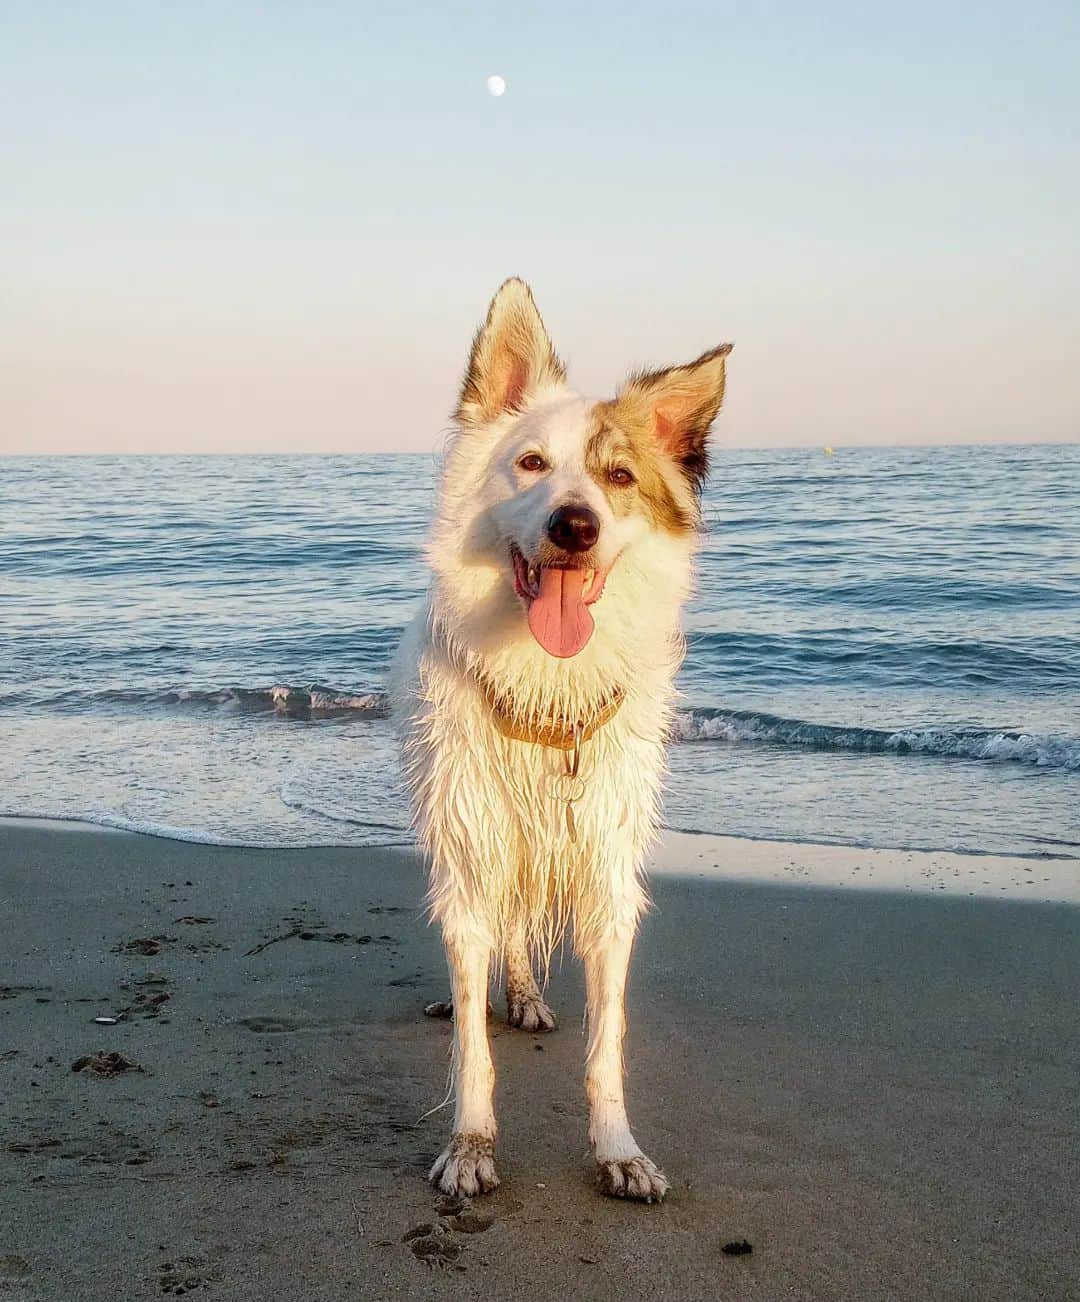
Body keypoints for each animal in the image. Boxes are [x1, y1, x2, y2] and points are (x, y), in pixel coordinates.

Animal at [390, 279, 734, 1203]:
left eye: (619, 477)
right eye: (532, 464)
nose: (576, 526)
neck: (548, 691)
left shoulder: (609, 872)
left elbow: (606, 1046)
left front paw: (618, 1149)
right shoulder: (473, 843)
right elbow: (473, 1048)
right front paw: (471, 1143)